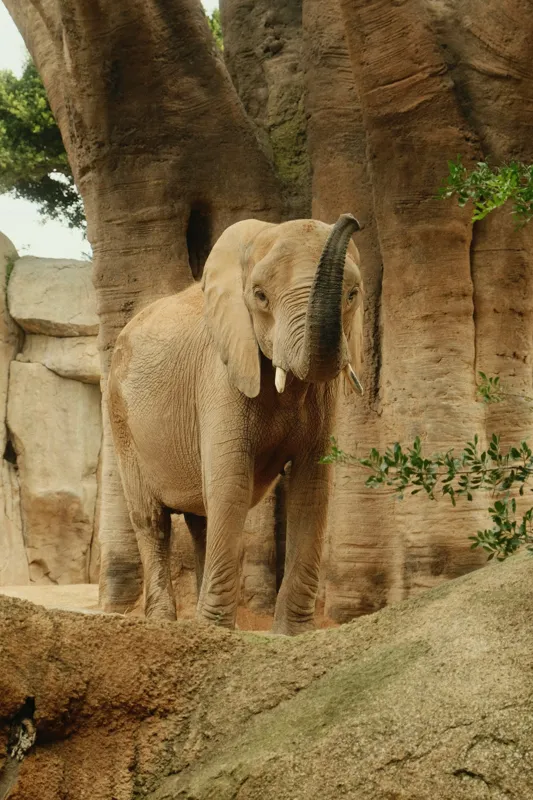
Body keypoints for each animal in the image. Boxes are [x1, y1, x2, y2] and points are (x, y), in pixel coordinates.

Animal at [107, 213, 364, 635]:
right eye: (259, 296)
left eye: (353, 295)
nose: (351, 220)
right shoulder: (220, 373)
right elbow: (232, 484)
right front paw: (215, 632)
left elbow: (311, 488)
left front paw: (292, 635)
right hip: (119, 416)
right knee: (152, 519)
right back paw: (164, 623)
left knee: (201, 518)